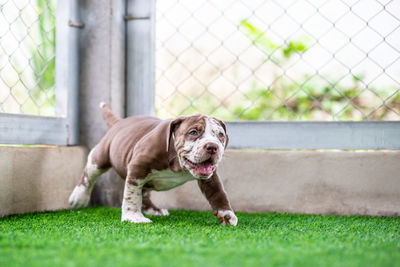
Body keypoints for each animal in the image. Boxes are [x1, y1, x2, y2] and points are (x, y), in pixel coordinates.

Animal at [69, 102, 238, 226]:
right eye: (194, 132)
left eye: (220, 135)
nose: (212, 146)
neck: (178, 163)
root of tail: (120, 121)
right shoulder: (138, 166)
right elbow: (131, 195)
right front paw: (133, 217)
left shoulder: (210, 177)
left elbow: (218, 193)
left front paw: (226, 214)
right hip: (100, 157)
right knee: (89, 174)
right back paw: (79, 198)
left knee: (144, 191)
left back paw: (153, 210)